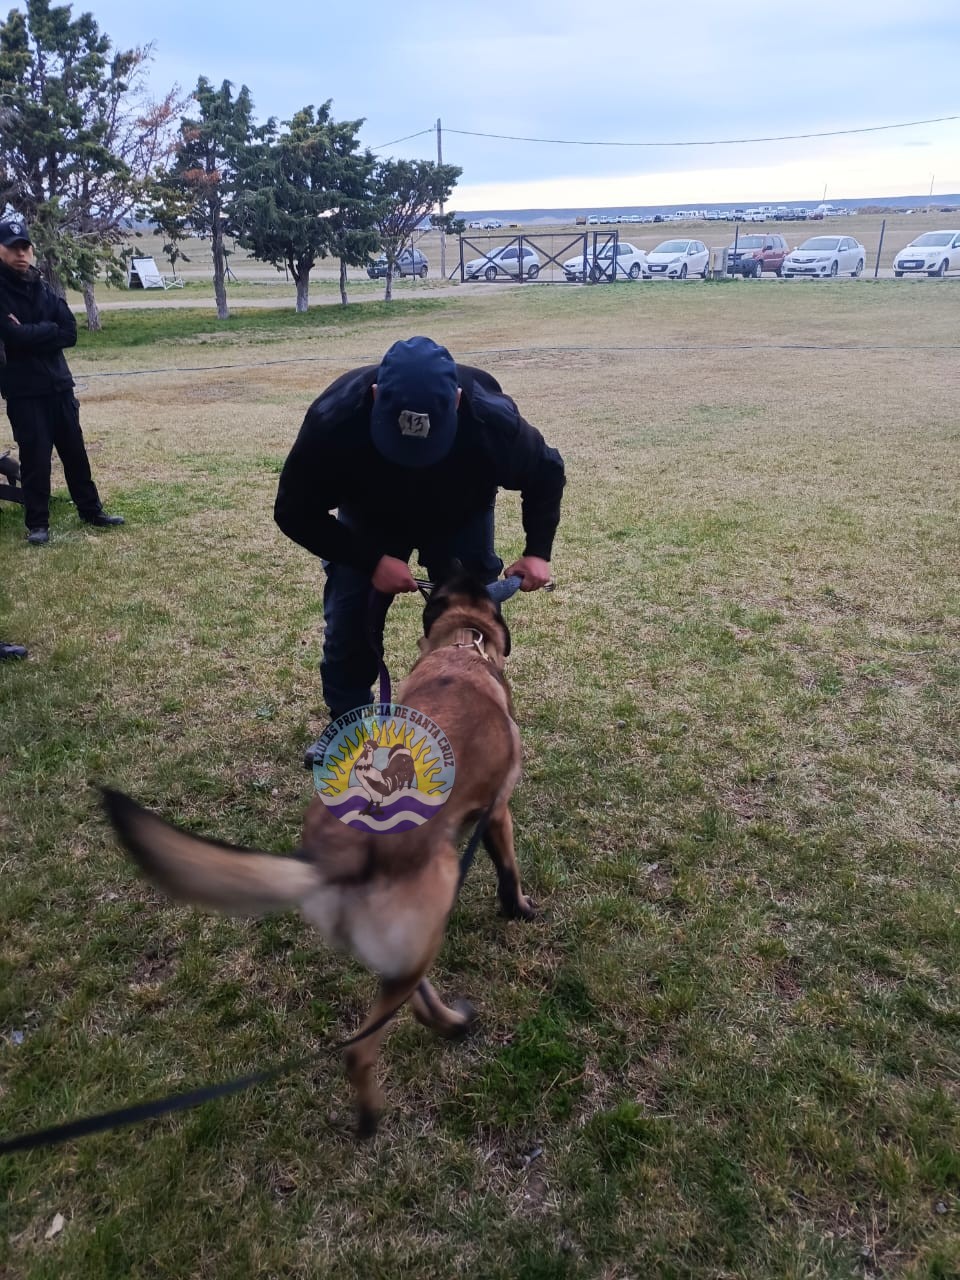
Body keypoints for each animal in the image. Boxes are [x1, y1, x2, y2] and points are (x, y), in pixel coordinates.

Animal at [110, 576, 542, 1136]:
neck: (462, 649)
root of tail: (337, 854)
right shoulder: (498, 812)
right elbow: (509, 870)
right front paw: (521, 909)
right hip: (437, 895)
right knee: (362, 1048)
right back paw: (376, 1110)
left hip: (411, 933)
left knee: (408, 998)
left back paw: (450, 1024)